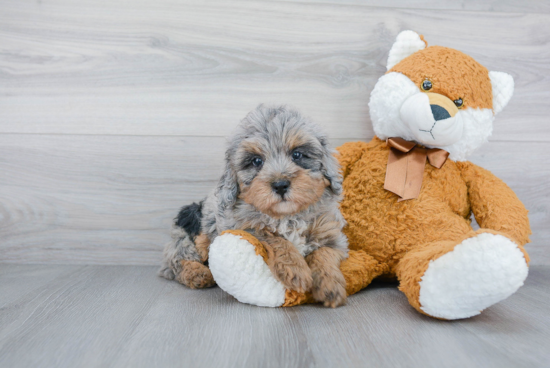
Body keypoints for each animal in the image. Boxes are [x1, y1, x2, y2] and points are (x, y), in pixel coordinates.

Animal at [160, 104, 350, 308]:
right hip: (186, 235)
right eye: (256, 161)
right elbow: (272, 236)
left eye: (297, 155)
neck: (287, 216)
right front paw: (296, 270)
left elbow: (324, 253)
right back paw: (197, 274)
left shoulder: (333, 236)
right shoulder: (242, 227)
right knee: (175, 261)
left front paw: (330, 286)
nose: (280, 185)